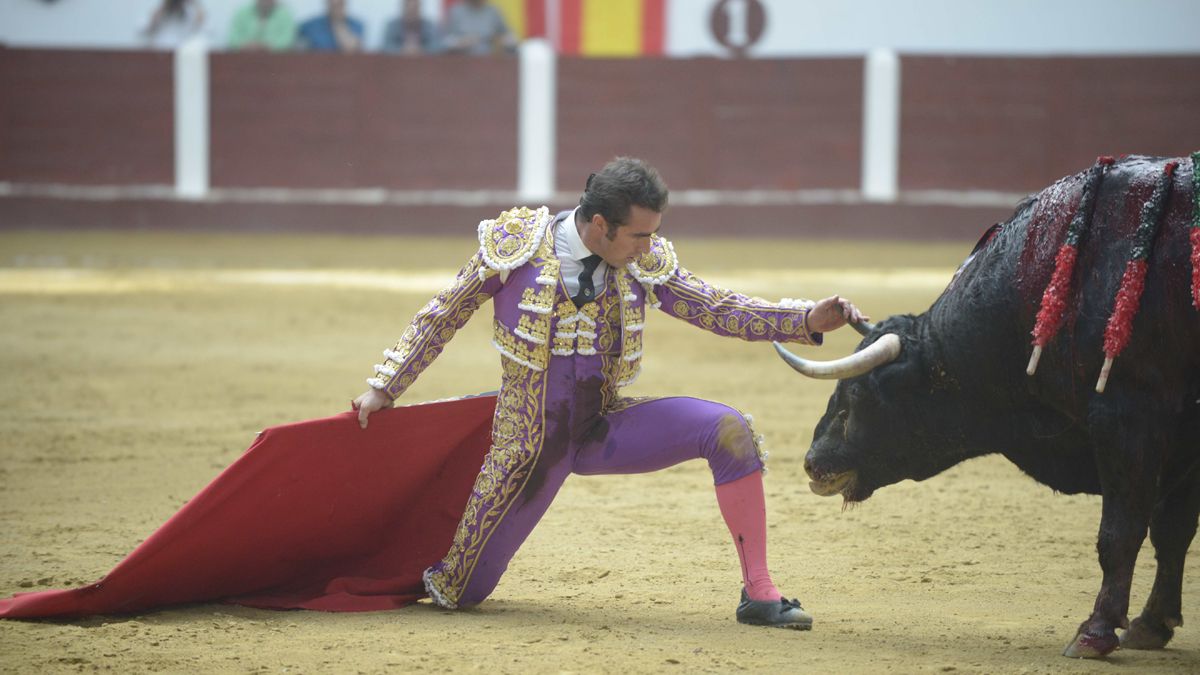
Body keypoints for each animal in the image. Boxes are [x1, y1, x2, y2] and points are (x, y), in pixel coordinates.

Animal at [772, 154, 1200, 653]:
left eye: (857, 394)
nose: (812, 462)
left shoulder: (1129, 413)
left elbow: (1121, 531)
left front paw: (1095, 632)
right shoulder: (1183, 436)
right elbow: (1172, 530)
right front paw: (1151, 625)